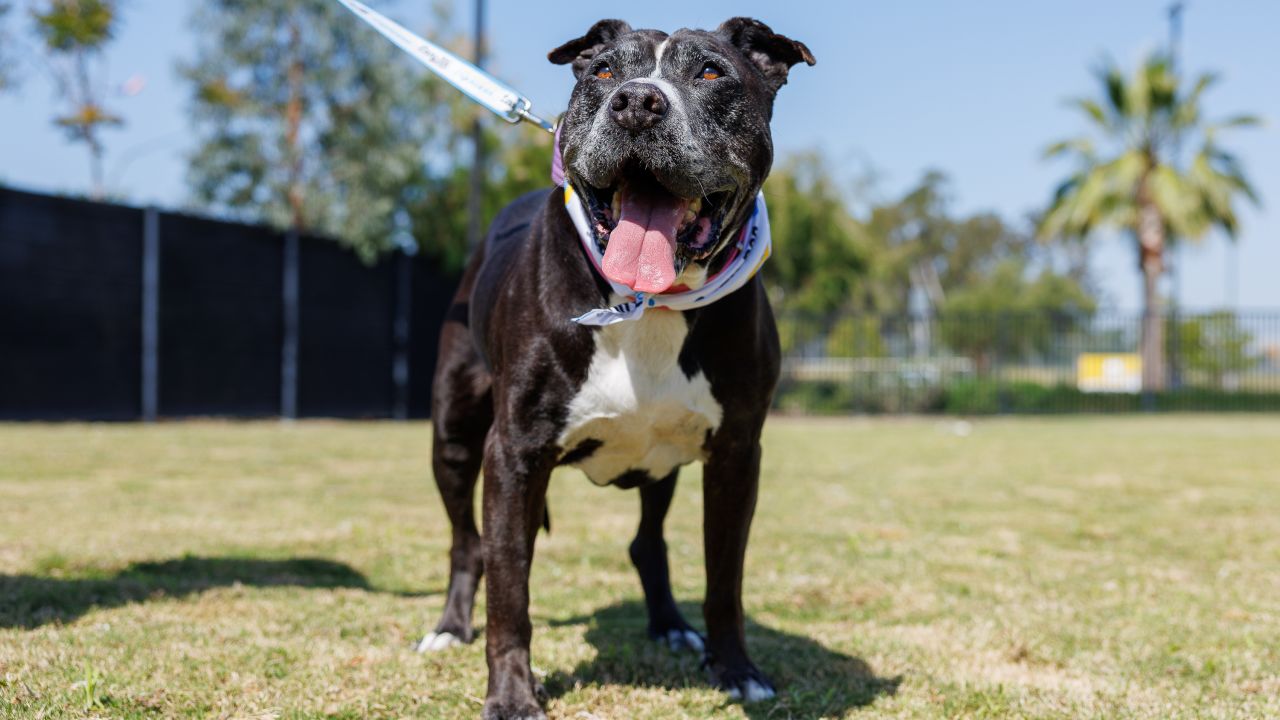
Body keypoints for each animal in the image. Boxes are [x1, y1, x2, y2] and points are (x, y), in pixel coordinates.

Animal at [422, 18, 819, 717]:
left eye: (711, 72)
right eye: (604, 70)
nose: (636, 102)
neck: (649, 303)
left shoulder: (737, 454)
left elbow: (725, 576)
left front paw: (737, 668)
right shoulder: (515, 452)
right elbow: (510, 587)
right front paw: (512, 694)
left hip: (660, 462)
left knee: (647, 540)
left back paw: (671, 626)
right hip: (454, 437)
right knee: (468, 542)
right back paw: (449, 627)